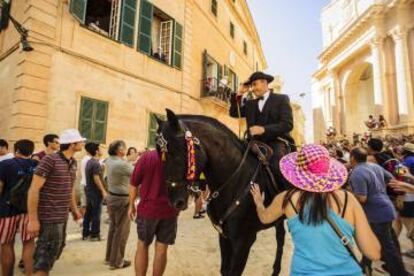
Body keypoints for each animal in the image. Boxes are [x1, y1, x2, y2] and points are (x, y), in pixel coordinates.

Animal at [157, 110, 286, 276]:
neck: (236, 180)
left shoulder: (244, 241)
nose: (175, 201)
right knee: (281, 236)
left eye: (179, 150)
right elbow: (225, 270)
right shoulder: (224, 236)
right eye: (158, 152)